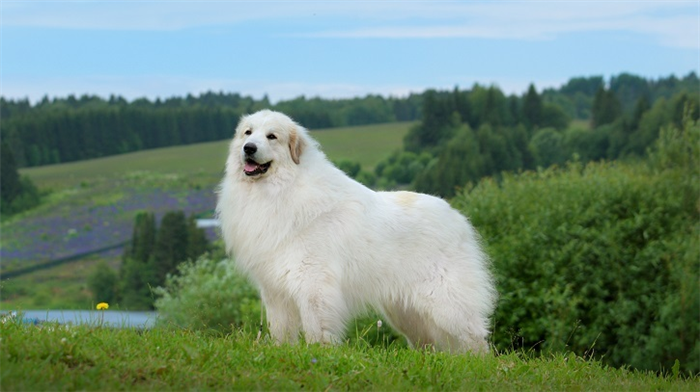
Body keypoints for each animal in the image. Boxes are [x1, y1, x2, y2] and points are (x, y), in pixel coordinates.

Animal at [216, 109, 494, 352]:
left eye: (271, 136)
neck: (281, 188)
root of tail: (457, 217)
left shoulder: (313, 283)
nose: (248, 148)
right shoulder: (274, 290)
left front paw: (318, 354)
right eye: (248, 133)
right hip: (406, 312)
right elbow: (280, 331)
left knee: (475, 336)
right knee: (428, 343)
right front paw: (282, 352)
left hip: (446, 302)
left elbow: (316, 328)